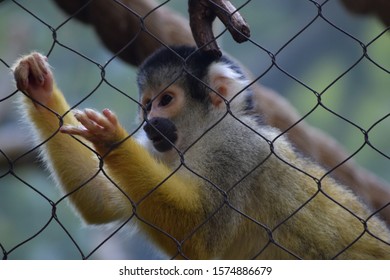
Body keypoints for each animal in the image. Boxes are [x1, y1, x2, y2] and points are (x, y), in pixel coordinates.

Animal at [10, 47, 390, 260]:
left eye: (166, 100)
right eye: (147, 105)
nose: (149, 123)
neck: (198, 138)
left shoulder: (235, 150)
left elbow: (199, 237)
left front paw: (110, 138)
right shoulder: (159, 152)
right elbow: (101, 201)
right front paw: (40, 89)